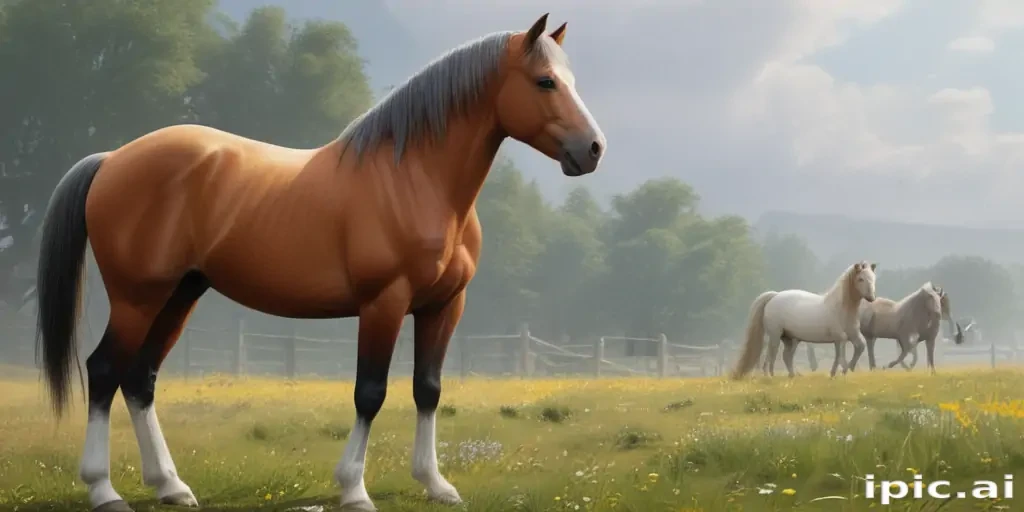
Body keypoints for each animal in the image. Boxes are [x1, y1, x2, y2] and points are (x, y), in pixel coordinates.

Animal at [35, 14, 604, 512]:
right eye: (545, 81)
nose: (594, 149)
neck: (415, 180)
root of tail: (112, 159)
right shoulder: (384, 303)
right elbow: (370, 393)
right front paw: (354, 490)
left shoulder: (443, 306)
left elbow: (428, 389)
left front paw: (435, 484)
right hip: (137, 297)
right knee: (104, 371)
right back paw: (104, 490)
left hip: (180, 294)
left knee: (140, 378)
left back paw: (171, 486)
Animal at [732, 261, 878, 380]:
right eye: (860, 279)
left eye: (873, 278)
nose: (871, 298)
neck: (840, 308)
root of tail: (774, 296)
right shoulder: (840, 337)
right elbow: (840, 356)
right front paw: (840, 371)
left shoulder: (852, 335)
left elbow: (859, 346)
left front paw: (841, 371)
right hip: (775, 335)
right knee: (770, 354)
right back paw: (769, 376)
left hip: (790, 339)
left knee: (786, 356)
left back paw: (792, 375)